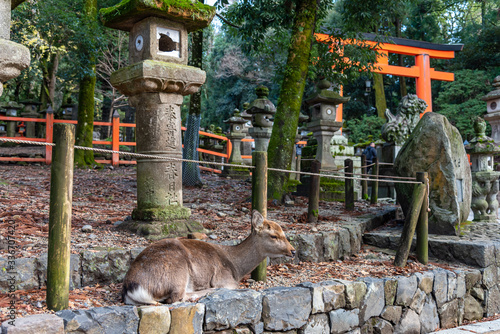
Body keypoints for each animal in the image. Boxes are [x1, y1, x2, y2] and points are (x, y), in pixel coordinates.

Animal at [121, 211, 294, 306]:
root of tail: (132, 287)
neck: (236, 268)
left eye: (284, 233)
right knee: (177, 298)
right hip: (177, 272)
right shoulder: (224, 278)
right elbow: (233, 286)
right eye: (273, 235)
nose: (293, 250)